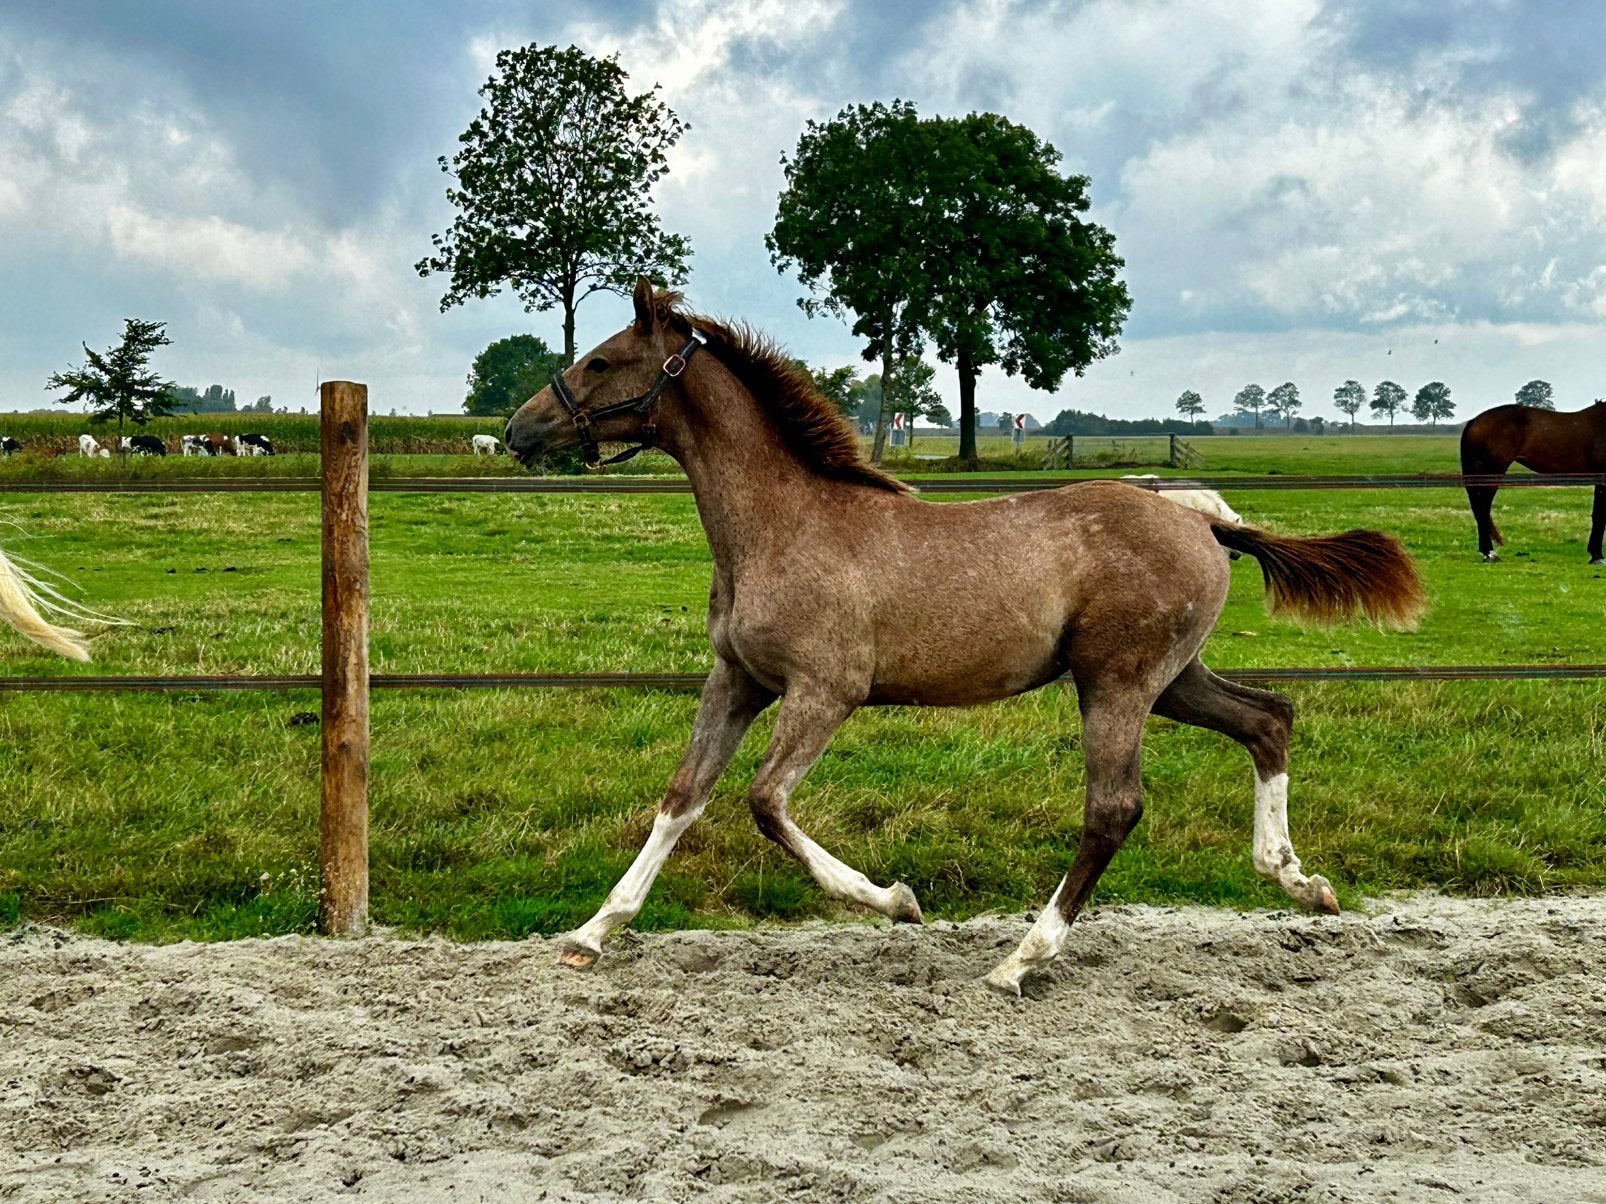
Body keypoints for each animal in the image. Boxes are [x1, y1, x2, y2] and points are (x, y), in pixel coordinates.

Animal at [504, 279, 1426, 995]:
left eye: (600, 362)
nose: (518, 430)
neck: (781, 525)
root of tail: (1203, 518)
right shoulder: (737, 681)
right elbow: (682, 796)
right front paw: (591, 933)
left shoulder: (825, 692)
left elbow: (765, 804)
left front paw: (897, 901)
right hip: (1171, 679)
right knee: (1269, 719)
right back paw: (1299, 881)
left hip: (1118, 682)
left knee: (1114, 808)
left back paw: (1021, 960)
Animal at [1459, 401, 1606, 564]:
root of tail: (1474, 421)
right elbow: (1600, 516)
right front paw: (1597, 556)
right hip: (1491, 472)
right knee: (1483, 507)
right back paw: (1490, 553)